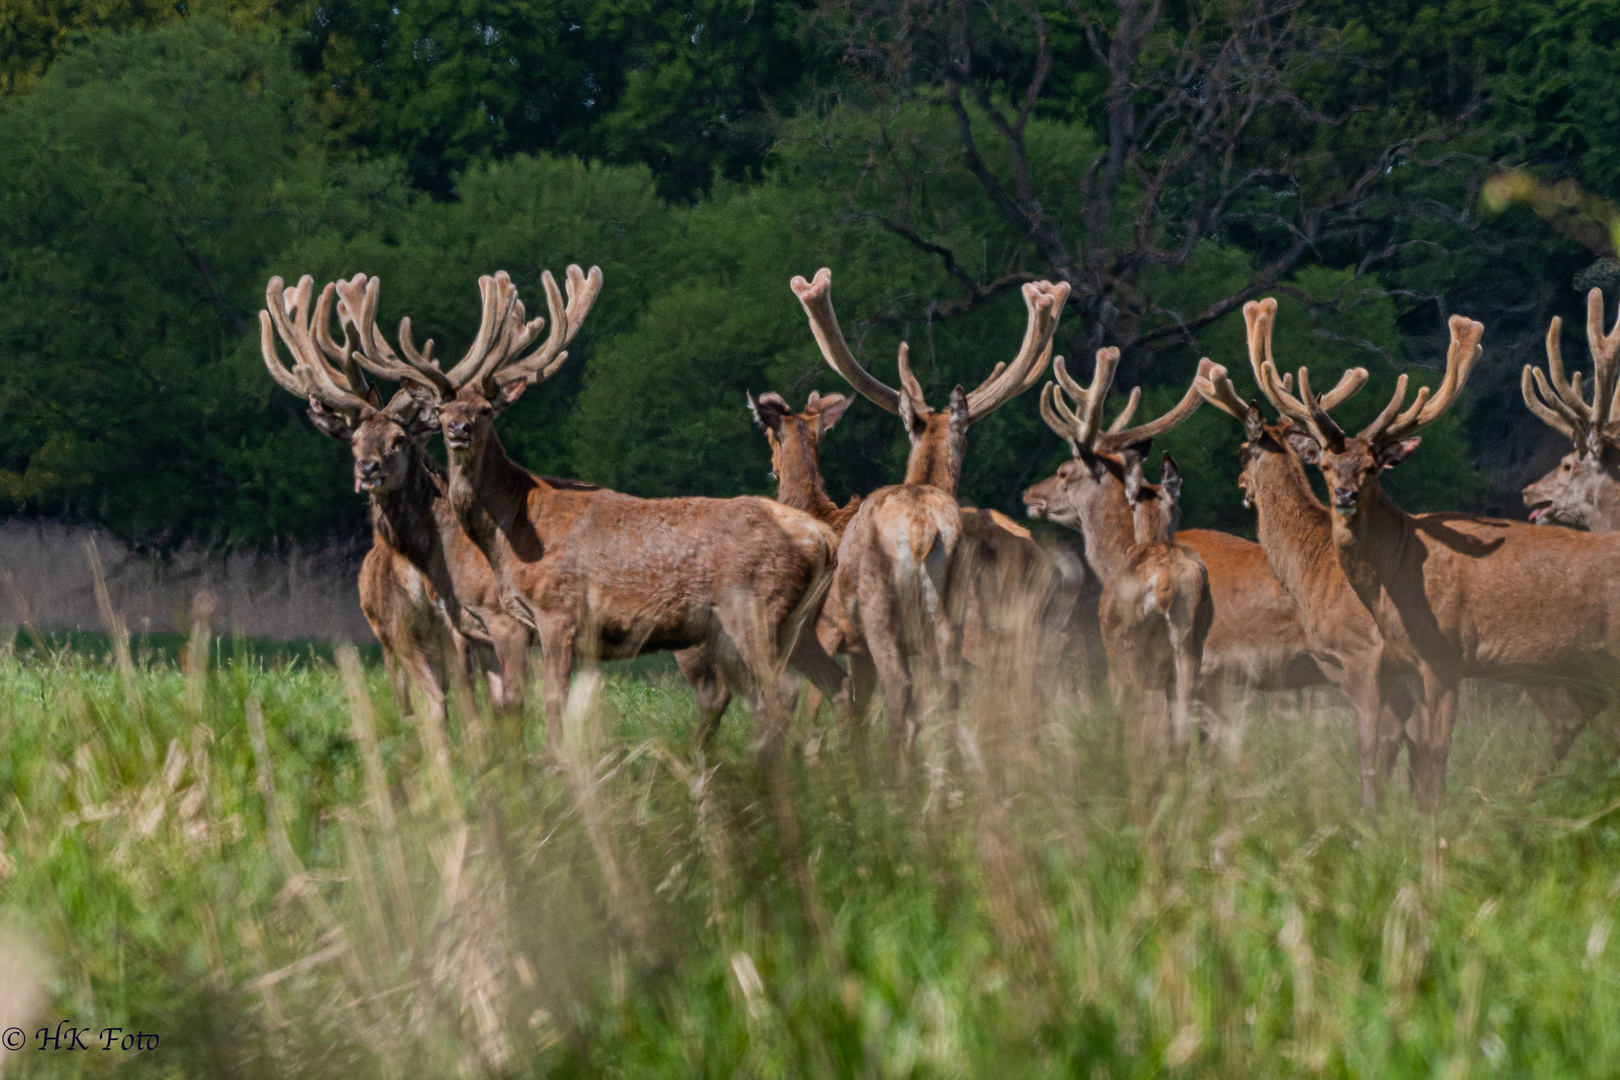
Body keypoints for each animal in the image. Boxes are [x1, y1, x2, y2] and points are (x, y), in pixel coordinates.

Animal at [790, 267, 1069, 757]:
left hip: (878, 612)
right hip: (954, 616)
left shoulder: (851, 639)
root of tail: (922, 529)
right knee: (958, 691)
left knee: (897, 692)